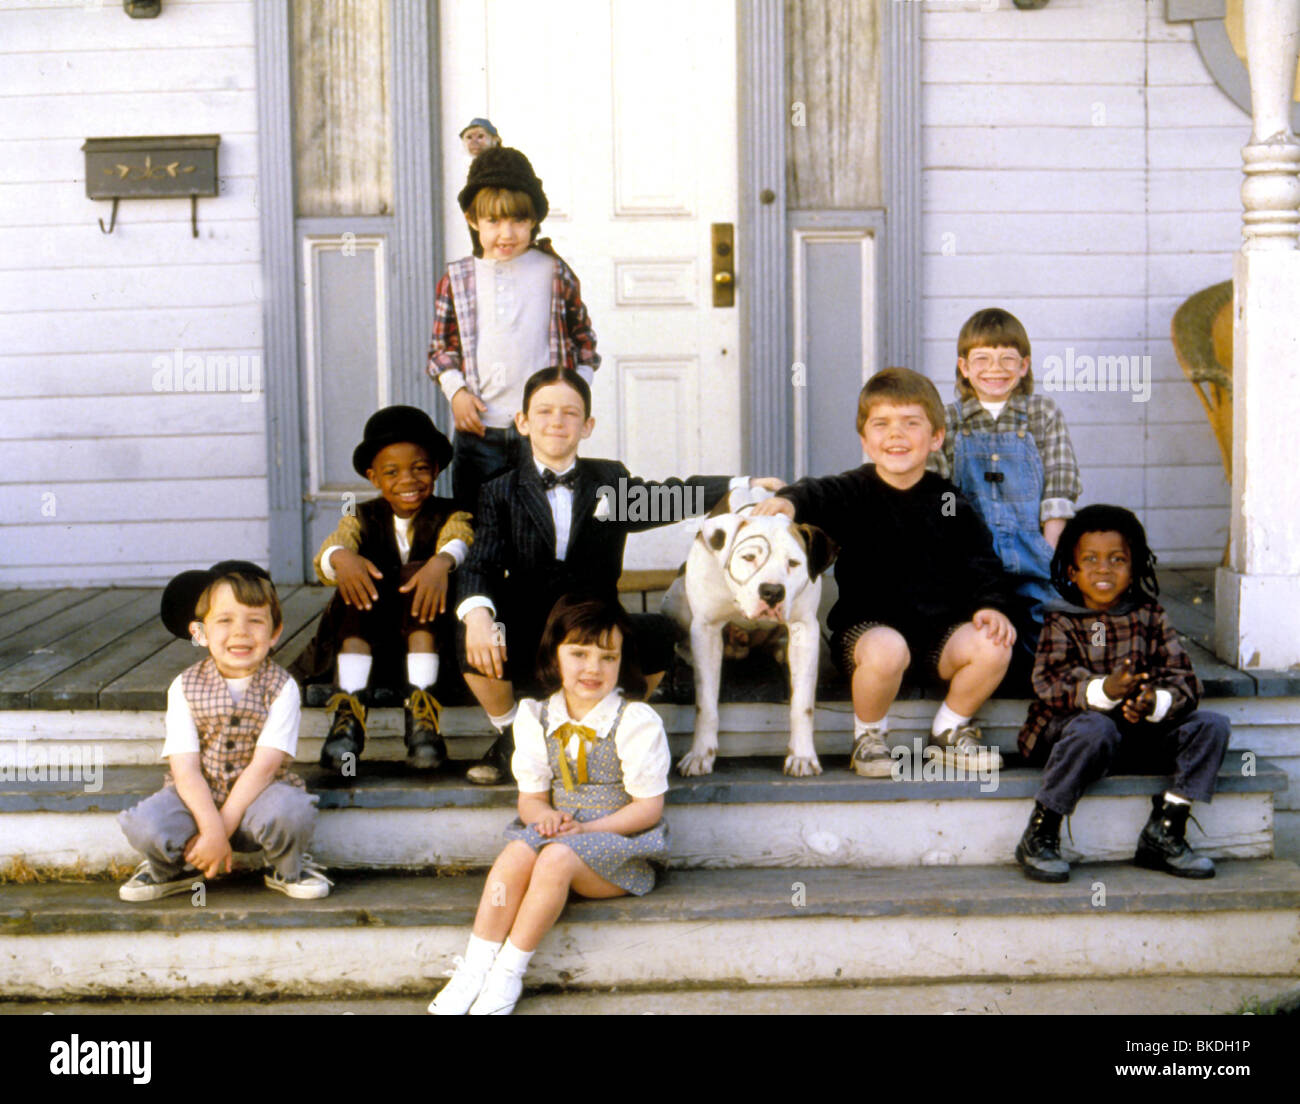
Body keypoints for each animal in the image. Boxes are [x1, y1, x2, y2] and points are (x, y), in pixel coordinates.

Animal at [665, 486, 837, 780]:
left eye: (793, 563)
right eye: (748, 557)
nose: (772, 591)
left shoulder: (805, 628)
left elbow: (803, 704)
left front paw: (802, 755)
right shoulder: (706, 628)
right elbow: (705, 704)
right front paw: (700, 754)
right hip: (676, 596)